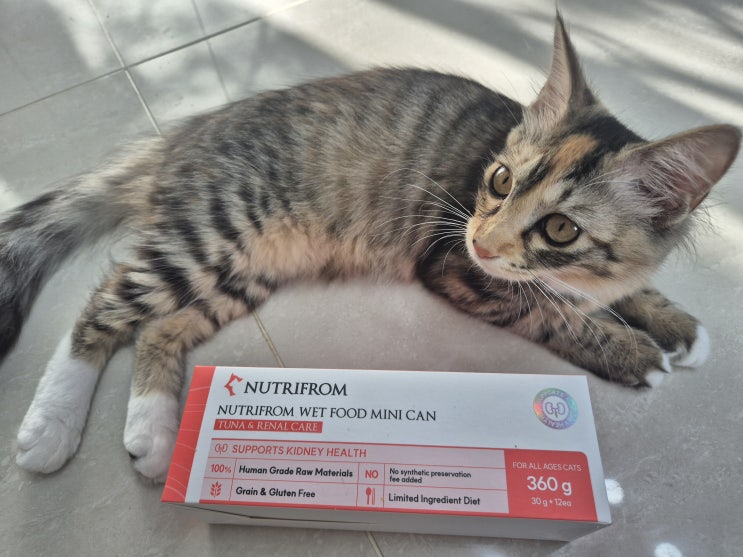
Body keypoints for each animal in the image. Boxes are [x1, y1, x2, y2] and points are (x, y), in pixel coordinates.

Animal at [1, 15, 739, 482]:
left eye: (561, 229)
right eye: (499, 182)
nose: (484, 237)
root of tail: (185, 132)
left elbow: (634, 289)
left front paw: (676, 324)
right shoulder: (456, 267)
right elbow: (553, 313)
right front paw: (631, 351)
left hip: (244, 268)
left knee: (158, 329)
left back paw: (153, 438)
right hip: (214, 234)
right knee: (100, 310)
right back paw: (51, 427)